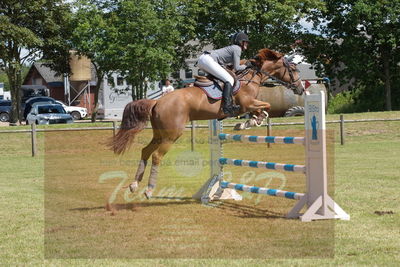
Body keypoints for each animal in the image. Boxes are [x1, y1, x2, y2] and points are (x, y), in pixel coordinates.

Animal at [108, 48, 304, 199]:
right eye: (294, 69)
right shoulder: (246, 104)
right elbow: (266, 106)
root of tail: (157, 101)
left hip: (159, 133)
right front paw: (250, 122)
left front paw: (248, 122)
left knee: (146, 151)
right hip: (172, 134)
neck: (250, 77)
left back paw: (134, 184)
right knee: (156, 156)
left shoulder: (248, 105)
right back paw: (149, 190)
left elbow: (262, 109)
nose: (301, 89)